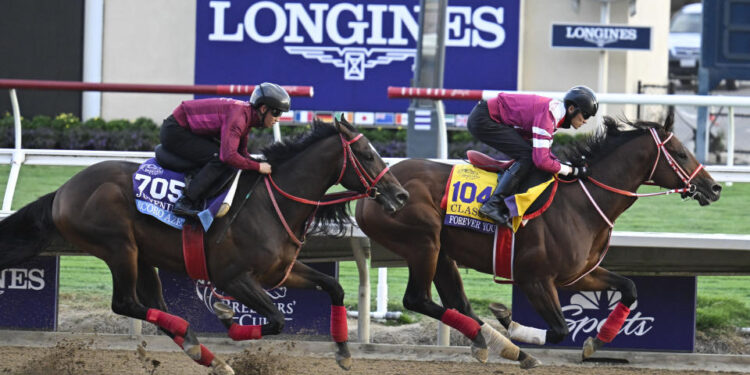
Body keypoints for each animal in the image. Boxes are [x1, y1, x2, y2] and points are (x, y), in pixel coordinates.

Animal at [0, 118, 408, 375]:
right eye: (368, 155)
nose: (401, 195)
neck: (272, 202)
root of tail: (63, 191)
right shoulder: (233, 277)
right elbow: (275, 319)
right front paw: (228, 320)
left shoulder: (280, 272)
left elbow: (333, 287)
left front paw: (344, 354)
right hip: (118, 247)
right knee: (126, 303)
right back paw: (201, 344)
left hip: (142, 256)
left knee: (155, 306)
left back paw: (207, 355)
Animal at [356, 114, 724, 368]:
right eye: (680, 152)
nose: (714, 187)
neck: (581, 202)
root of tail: (373, 188)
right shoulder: (535, 278)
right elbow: (560, 330)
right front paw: (514, 324)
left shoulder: (579, 274)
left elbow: (629, 288)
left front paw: (595, 343)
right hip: (423, 244)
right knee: (417, 299)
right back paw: (508, 344)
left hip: (442, 252)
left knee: (457, 303)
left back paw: (498, 344)